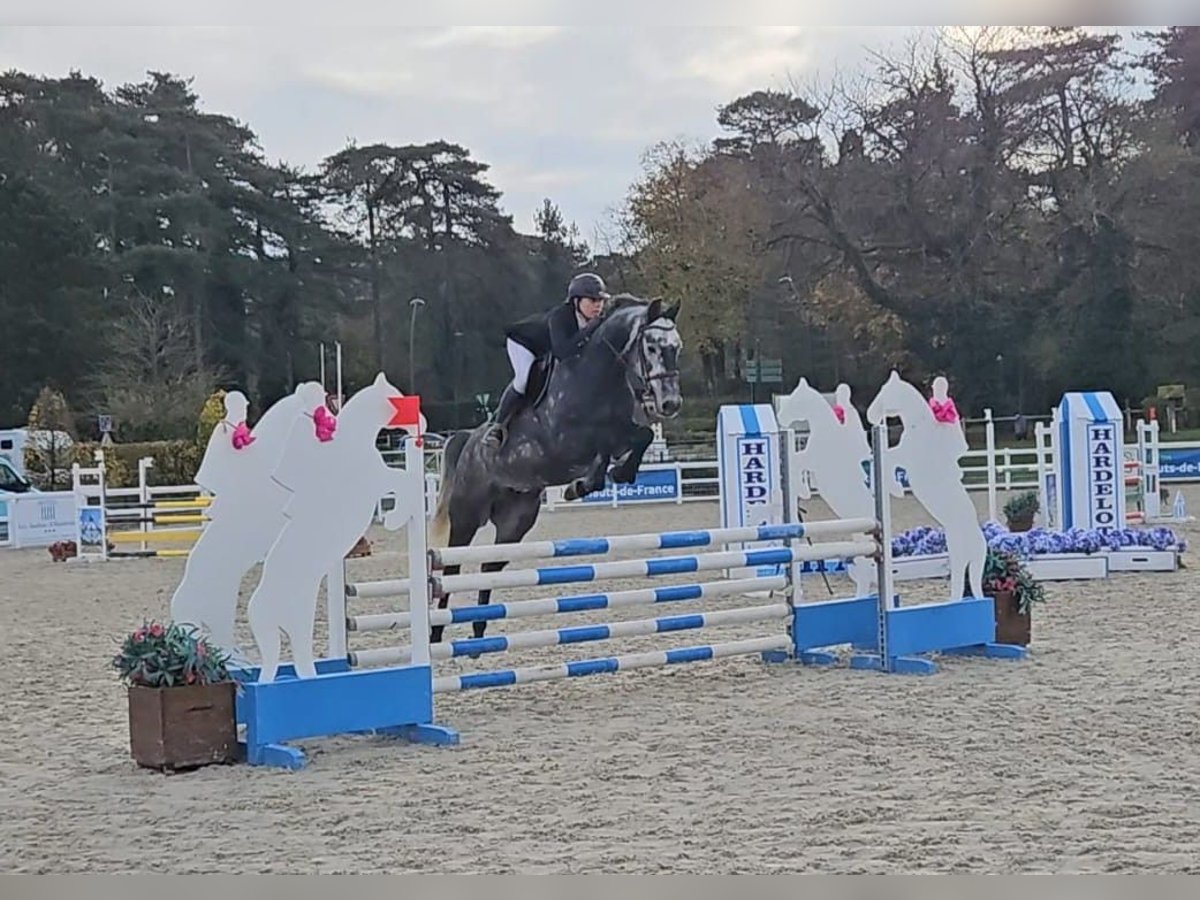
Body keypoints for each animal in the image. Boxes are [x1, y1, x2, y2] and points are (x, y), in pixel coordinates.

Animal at [429, 294, 686, 643]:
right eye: (652, 346)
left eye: (677, 347)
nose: (670, 404)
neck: (600, 377)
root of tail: (468, 439)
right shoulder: (568, 441)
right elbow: (605, 443)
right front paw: (586, 483)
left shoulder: (621, 430)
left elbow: (640, 436)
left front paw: (603, 478)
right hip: (467, 515)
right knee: (453, 568)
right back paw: (436, 634)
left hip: (515, 520)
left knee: (488, 568)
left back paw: (480, 632)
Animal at [868, 369, 988, 602]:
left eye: (886, 391)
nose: (870, 415)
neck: (920, 427)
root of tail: (980, 543)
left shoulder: (906, 457)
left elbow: (889, 459)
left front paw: (895, 488)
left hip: (958, 547)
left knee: (960, 571)